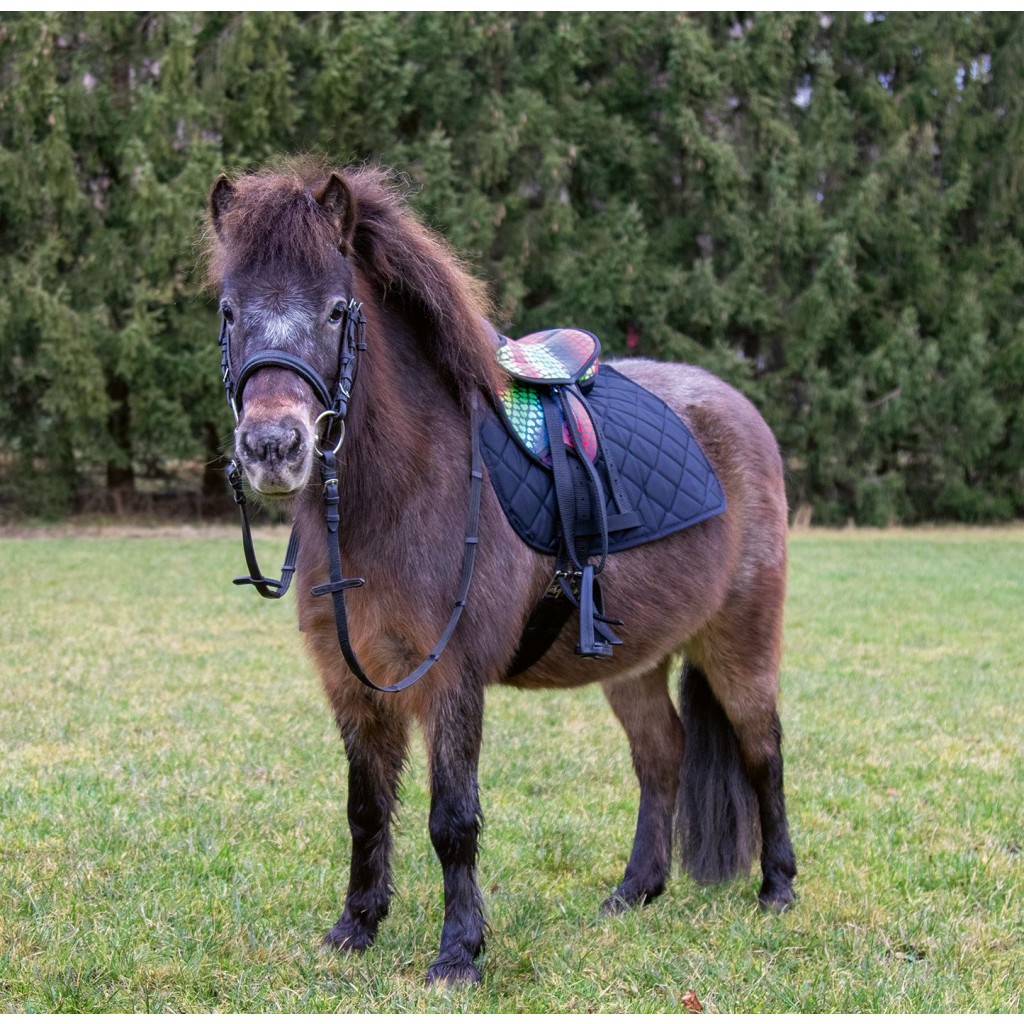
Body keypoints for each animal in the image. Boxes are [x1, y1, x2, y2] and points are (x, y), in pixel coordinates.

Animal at [205, 162, 796, 985]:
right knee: (662, 755)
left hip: (740, 641)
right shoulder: (353, 681)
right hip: (633, 662)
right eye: (230, 311)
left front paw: (459, 951)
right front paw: (355, 927)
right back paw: (634, 892)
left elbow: (452, 820)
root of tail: (740, 409)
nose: (272, 447)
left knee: (762, 750)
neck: (400, 492)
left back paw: (777, 887)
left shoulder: (450, 677)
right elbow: (365, 809)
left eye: (335, 310)